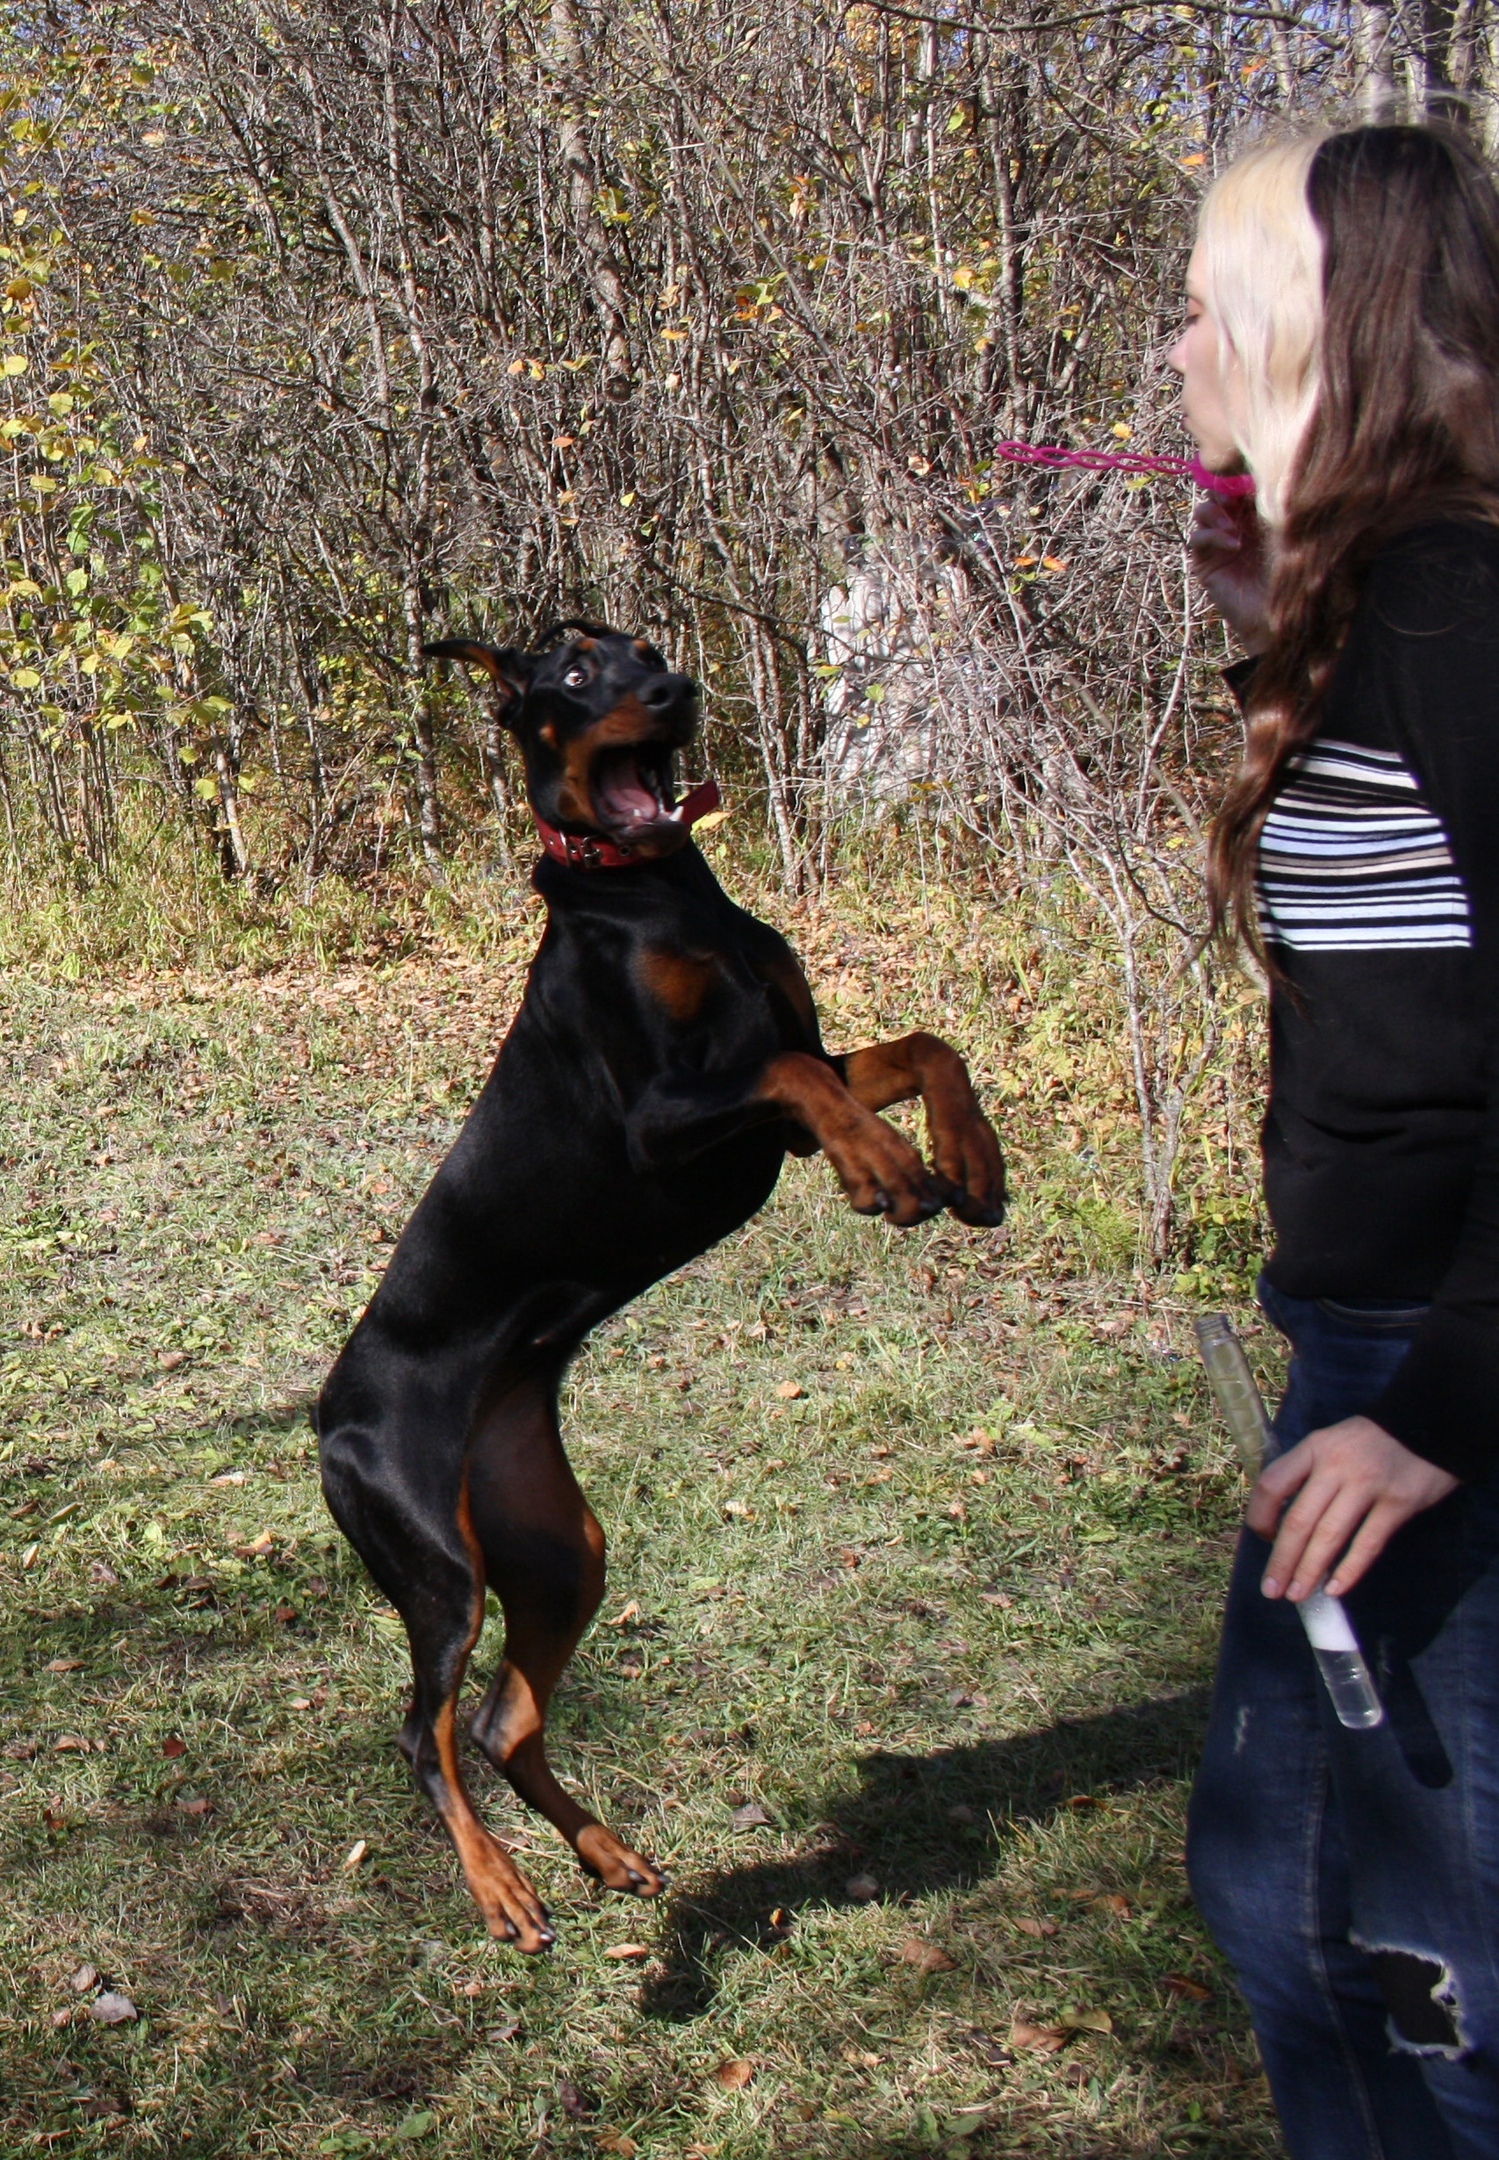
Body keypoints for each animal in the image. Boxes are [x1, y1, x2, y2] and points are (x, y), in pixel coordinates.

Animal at [317, 617, 1015, 1952]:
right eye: (571, 673)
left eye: (641, 644)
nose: (677, 689)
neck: (649, 888)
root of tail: (325, 1415)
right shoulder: (660, 1119)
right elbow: (801, 1075)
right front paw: (883, 1165)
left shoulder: (787, 1067)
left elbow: (908, 1048)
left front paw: (964, 1157)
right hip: (436, 1563)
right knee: (424, 1732)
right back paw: (499, 1885)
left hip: (557, 1544)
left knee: (504, 1722)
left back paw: (605, 1854)